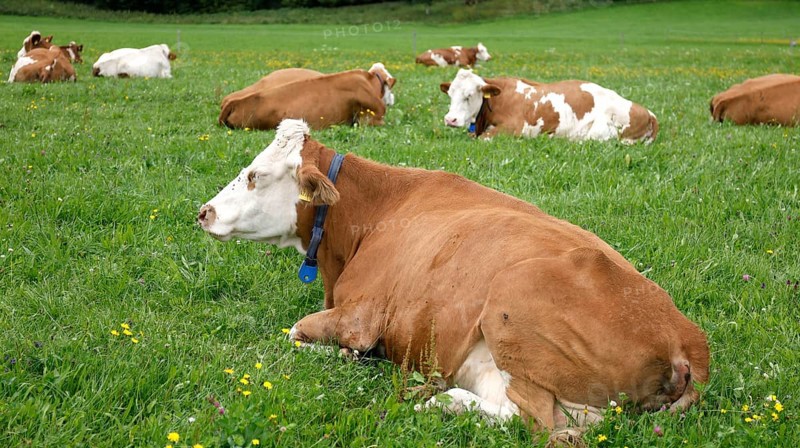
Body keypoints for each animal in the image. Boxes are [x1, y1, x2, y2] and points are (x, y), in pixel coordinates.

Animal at [197, 119, 709, 445]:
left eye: (254, 175)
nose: (204, 211)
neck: (370, 215)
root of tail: (685, 338)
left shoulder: (360, 316)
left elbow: (297, 333)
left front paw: (348, 356)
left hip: (510, 313)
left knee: (535, 423)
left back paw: (440, 402)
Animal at [441, 69, 659, 143]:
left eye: (469, 96)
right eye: (450, 94)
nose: (450, 119)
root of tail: (648, 112)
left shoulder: (515, 128)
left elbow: (484, 138)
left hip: (601, 131)